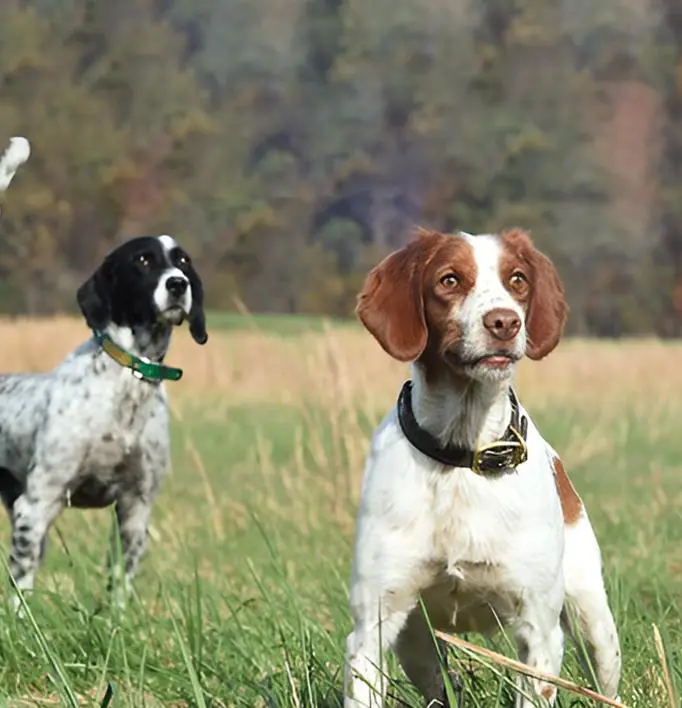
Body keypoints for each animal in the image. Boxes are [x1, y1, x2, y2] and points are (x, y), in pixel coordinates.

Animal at [0, 235, 207, 604]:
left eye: (183, 261)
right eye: (142, 260)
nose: (177, 284)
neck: (128, 382)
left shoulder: (135, 509)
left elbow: (120, 586)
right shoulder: (37, 503)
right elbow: (21, 590)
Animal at [342, 230, 620, 704]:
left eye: (518, 279)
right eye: (449, 280)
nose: (505, 322)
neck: (461, 454)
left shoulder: (539, 633)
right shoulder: (373, 627)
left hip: (593, 620)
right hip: (416, 642)